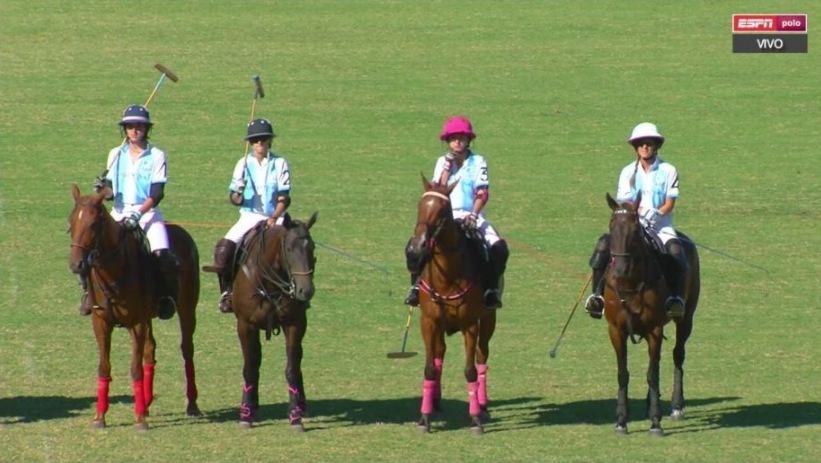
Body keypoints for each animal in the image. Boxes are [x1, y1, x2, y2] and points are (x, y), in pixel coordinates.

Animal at [68, 186, 201, 432]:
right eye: (71, 221)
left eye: (93, 224)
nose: (76, 265)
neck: (113, 270)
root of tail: (181, 232)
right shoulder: (101, 322)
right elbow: (104, 367)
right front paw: (100, 416)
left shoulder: (136, 323)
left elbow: (135, 368)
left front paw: (139, 420)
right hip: (149, 317)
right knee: (151, 349)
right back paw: (146, 402)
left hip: (187, 306)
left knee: (187, 349)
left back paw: (192, 404)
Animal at [232, 214, 318, 432]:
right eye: (288, 249)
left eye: (312, 248)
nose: (306, 291)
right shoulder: (245, 325)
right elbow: (250, 367)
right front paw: (245, 414)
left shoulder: (295, 324)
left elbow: (292, 368)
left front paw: (295, 416)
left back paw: (302, 405)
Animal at [406, 177, 496, 436]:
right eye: (420, 205)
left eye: (442, 210)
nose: (417, 247)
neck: (447, 276)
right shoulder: (428, 322)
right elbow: (429, 367)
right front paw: (424, 418)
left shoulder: (470, 324)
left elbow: (470, 370)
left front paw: (475, 419)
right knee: (440, 353)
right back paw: (435, 402)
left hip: (489, 319)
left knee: (482, 355)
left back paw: (483, 406)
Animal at [604, 190, 700, 436]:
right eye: (611, 226)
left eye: (635, 230)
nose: (619, 271)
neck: (630, 283)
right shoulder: (616, 330)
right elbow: (623, 373)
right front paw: (621, 421)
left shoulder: (654, 329)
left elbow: (652, 374)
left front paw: (656, 423)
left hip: (686, 318)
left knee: (677, 354)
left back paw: (676, 407)